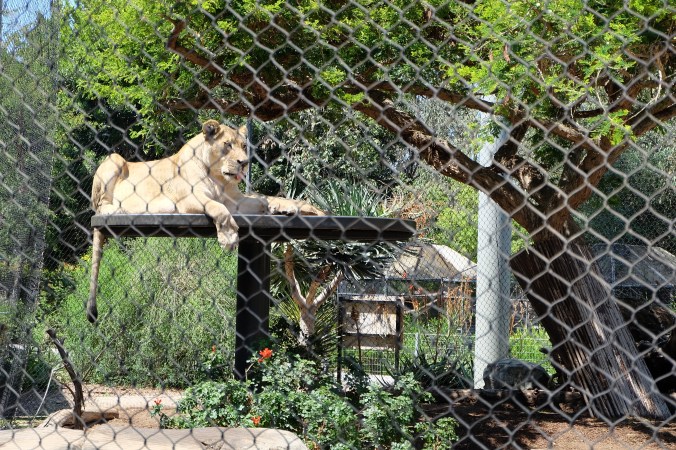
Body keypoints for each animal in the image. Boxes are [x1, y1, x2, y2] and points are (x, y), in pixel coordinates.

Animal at [87, 119, 324, 322]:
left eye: (243, 146)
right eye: (227, 145)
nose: (244, 163)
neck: (218, 177)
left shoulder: (236, 201)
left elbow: (266, 199)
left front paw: (301, 208)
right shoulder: (190, 199)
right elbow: (218, 209)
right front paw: (228, 237)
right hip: (113, 159)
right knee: (99, 207)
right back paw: (121, 208)